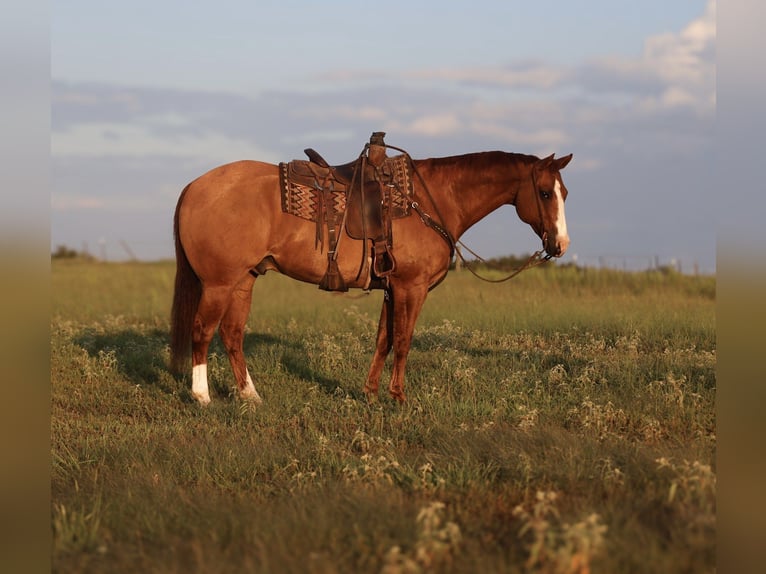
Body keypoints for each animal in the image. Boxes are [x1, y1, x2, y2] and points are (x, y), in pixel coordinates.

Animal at [170, 145, 572, 406]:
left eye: (564, 192)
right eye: (544, 193)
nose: (561, 244)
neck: (430, 200)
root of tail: (193, 186)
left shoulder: (391, 289)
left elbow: (384, 339)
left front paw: (371, 393)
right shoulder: (411, 288)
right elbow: (404, 340)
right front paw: (399, 397)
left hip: (244, 281)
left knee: (232, 334)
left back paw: (251, 396)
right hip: (219, 283)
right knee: (202, 331)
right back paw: (202, 397)